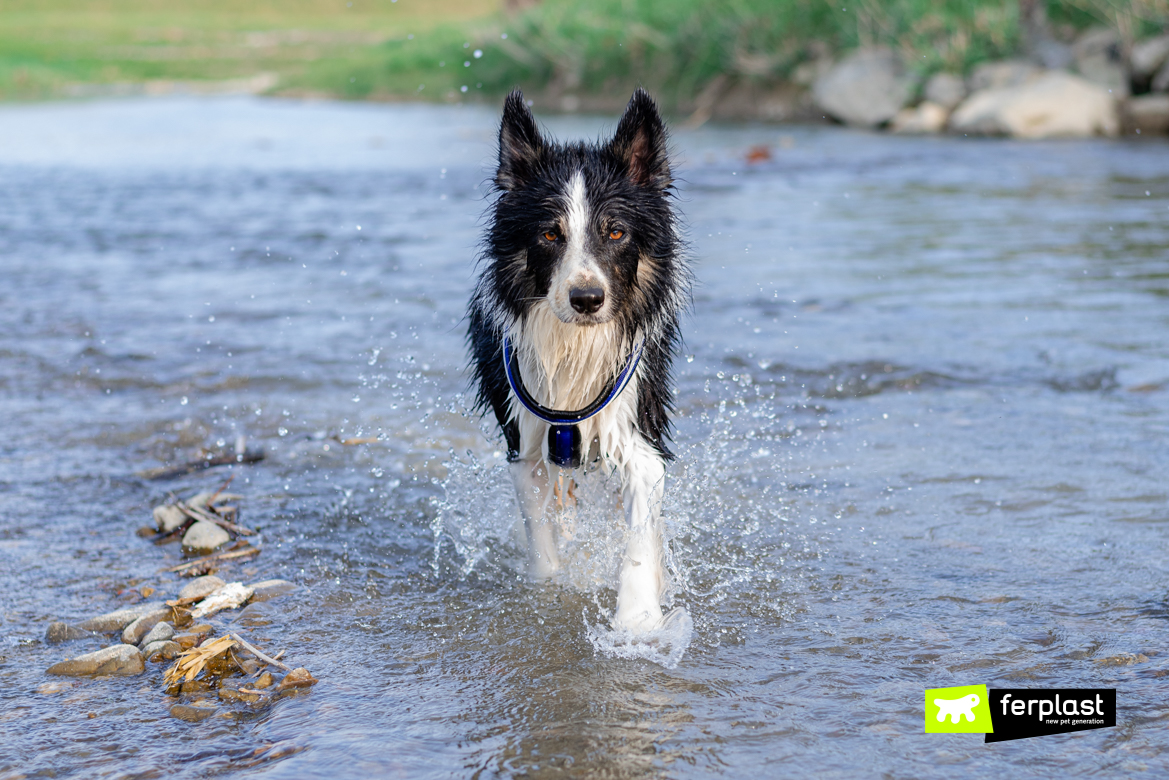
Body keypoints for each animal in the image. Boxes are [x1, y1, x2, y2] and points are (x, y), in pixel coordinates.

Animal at [465, 88, 682, 636]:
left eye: (616, 232)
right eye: (549, 235)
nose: (587, 299)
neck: (574, 347)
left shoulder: (637, 430)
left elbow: (638, 537)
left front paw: (638, 619)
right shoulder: (525, 445)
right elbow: (543, 545)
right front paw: (548, 597)